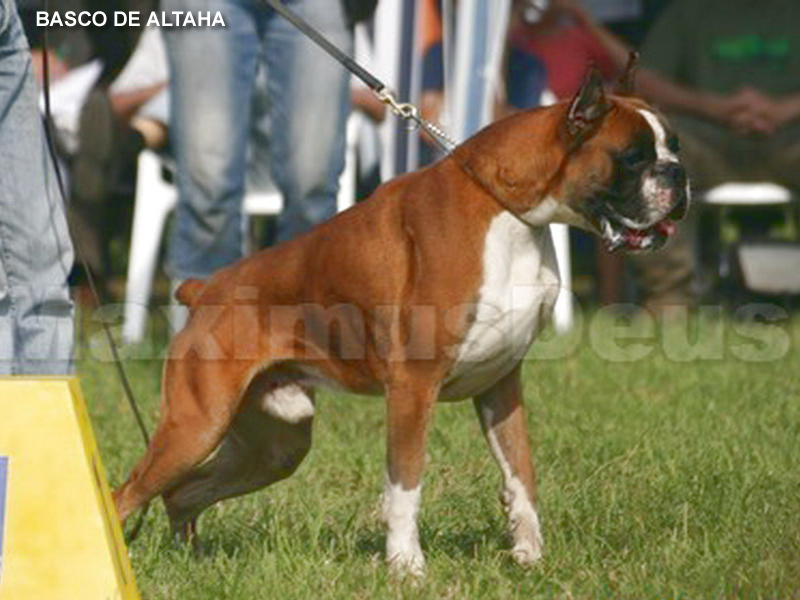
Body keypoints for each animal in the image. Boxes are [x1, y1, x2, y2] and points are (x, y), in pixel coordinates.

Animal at [113, 67, 689, 576]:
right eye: (633, 157)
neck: (509, 213)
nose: (677, 174)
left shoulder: (502, 386)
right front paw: (407, 568)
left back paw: (194, 560)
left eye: (674, 146)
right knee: (127, 493)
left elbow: (521, 477)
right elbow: (405, 486)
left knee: (182, 493)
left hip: (274, 446)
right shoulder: (414, 387)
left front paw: (530, 558)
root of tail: (206, 288)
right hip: (197, 425)